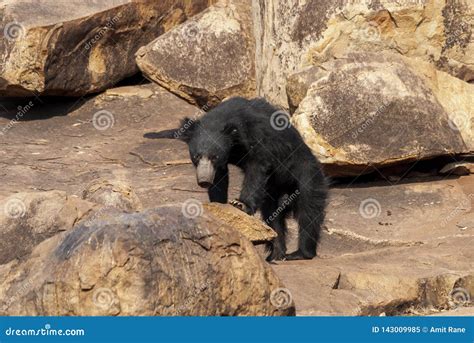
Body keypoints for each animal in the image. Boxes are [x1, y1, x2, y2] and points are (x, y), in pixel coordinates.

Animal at [145, 97, 330, 260]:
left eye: (214, 157)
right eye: (196, 156)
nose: (203, 180)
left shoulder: (260, 137)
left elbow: (257, 167)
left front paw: (239, 203)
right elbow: (220, 178)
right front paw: (218, 203)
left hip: (306, 174)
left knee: (309, 211)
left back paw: (300, 253)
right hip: (272, 192)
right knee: (272, 215)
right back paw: (276, 254)